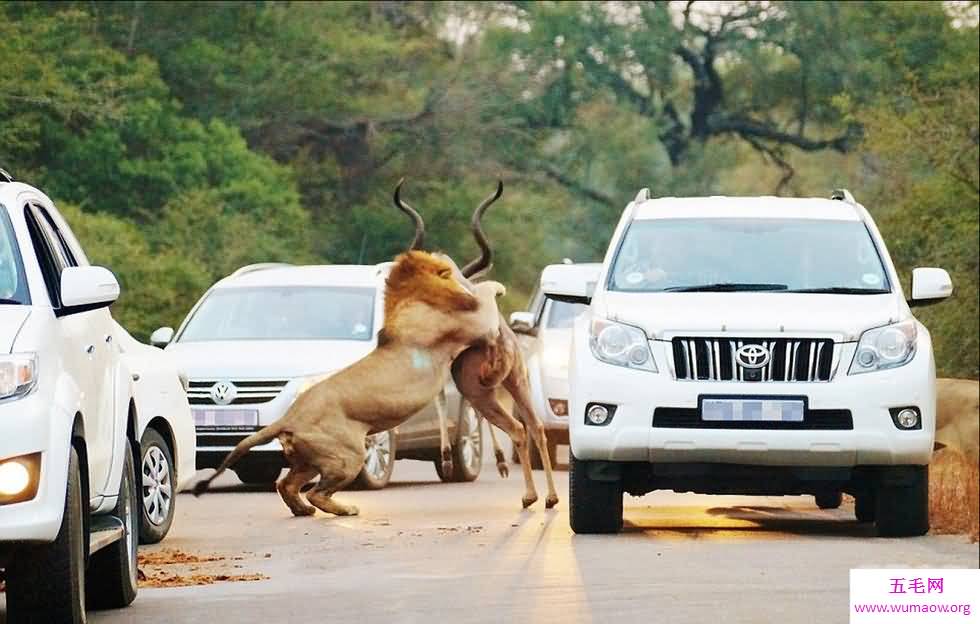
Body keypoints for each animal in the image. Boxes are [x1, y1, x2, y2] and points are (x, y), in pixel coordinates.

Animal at [392, 179, 560, 508]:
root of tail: (500, 341)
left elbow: (441, 399)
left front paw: (447, 459)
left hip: (480, 388)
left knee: (516, 428)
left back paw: (529, 496)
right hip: (516, 382)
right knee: (536, 426)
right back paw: (550, 498)